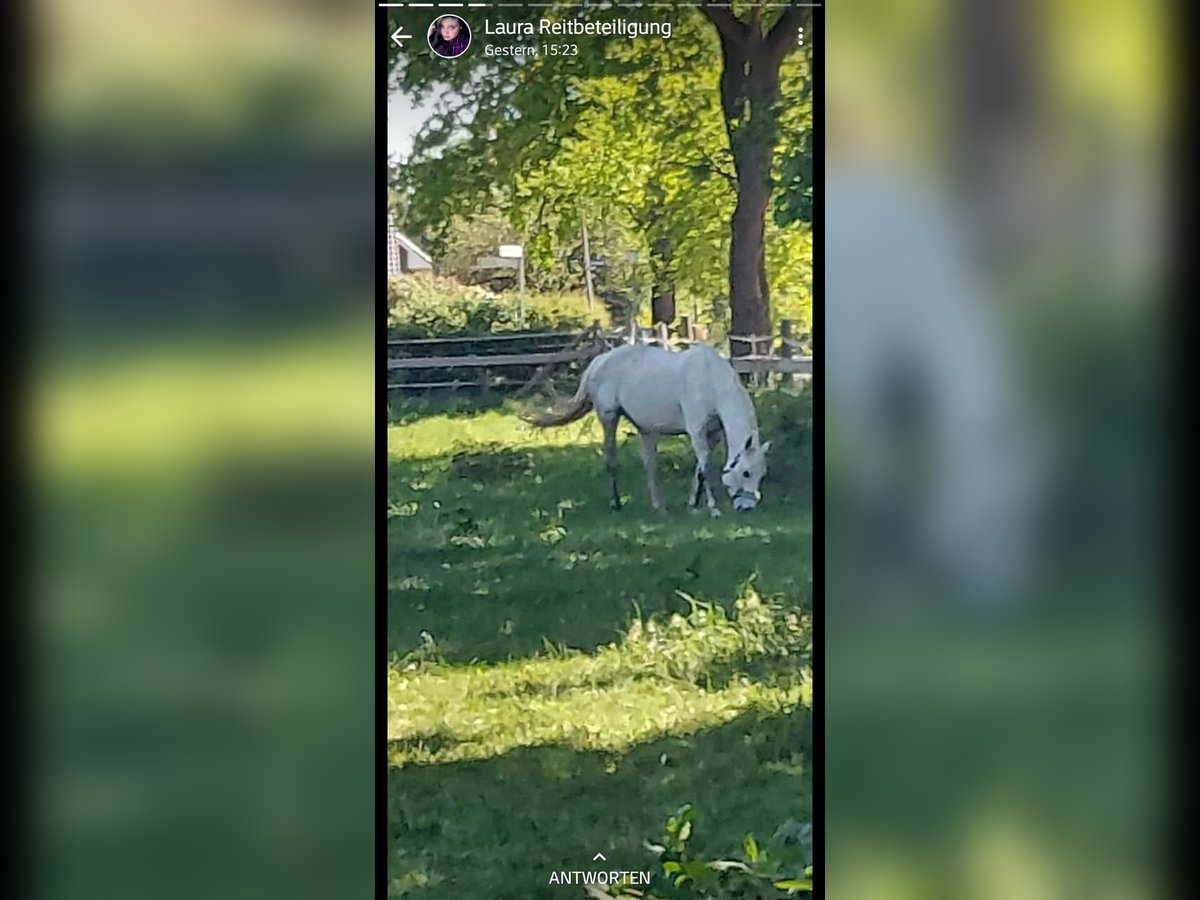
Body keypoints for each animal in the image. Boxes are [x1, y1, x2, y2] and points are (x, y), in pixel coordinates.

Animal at [523, 343, 768, 513]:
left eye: (761, 474)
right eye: (746, 472)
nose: (747, 508)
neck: (710, 380)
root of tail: (598, 361)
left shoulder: (714, 434)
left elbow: (699, 469)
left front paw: (693, 504)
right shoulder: (696, 430)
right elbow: (706, 467)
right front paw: (713, 508)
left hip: (645, 430)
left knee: (649, 465)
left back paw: (658, 506)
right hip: (608, 418)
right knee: (611, 460)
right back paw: (616, 503)